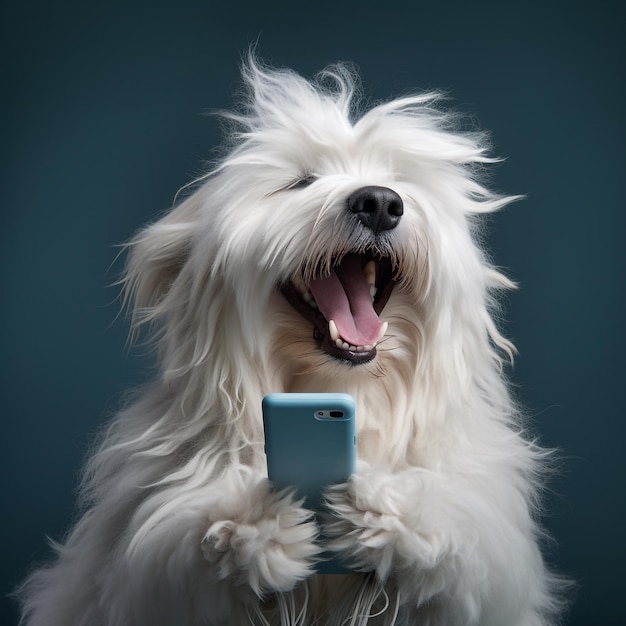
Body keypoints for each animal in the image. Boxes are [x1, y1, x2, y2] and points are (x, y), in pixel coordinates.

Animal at [19, 56, 564, 620]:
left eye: (399, 182)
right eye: (301, 182)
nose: (379, 202)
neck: (340, 388)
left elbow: (458, 544)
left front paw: (383, 508)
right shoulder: (144, 561)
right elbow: (180, 545)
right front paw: (255, 523)